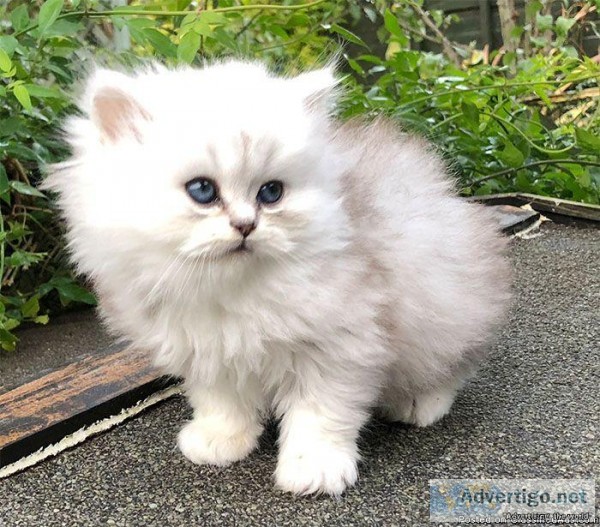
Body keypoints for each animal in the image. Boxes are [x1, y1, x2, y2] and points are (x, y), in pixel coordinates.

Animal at [44, 59, 508, 498]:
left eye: (271, 193)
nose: (246, 226)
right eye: (202, 190)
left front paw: (314, 470)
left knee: (451, 368)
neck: (234, 290)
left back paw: (418, 403)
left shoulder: (340, 347)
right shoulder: (208, 352)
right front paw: (221, 440)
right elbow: (223, 403)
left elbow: (319, 416)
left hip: (446, 305)